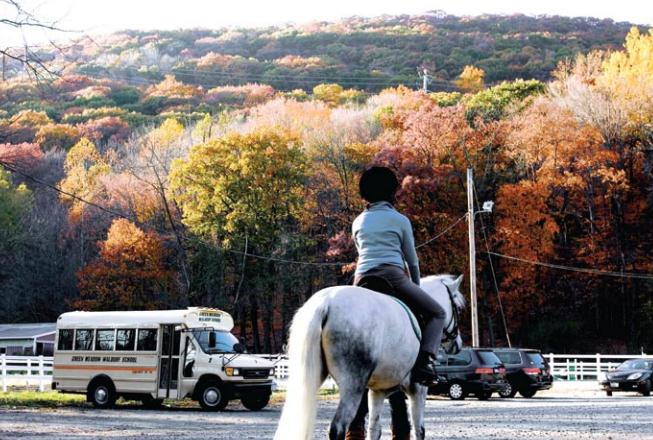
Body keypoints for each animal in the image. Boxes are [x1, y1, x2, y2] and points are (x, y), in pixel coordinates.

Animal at [274, 276, 464, 440]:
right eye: (460, 308)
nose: (458, 344)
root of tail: (325, 303)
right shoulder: (417, 389)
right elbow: (419, 430)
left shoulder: (377, 391)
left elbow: (374, 429)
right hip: (353, 385)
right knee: (338, 428)